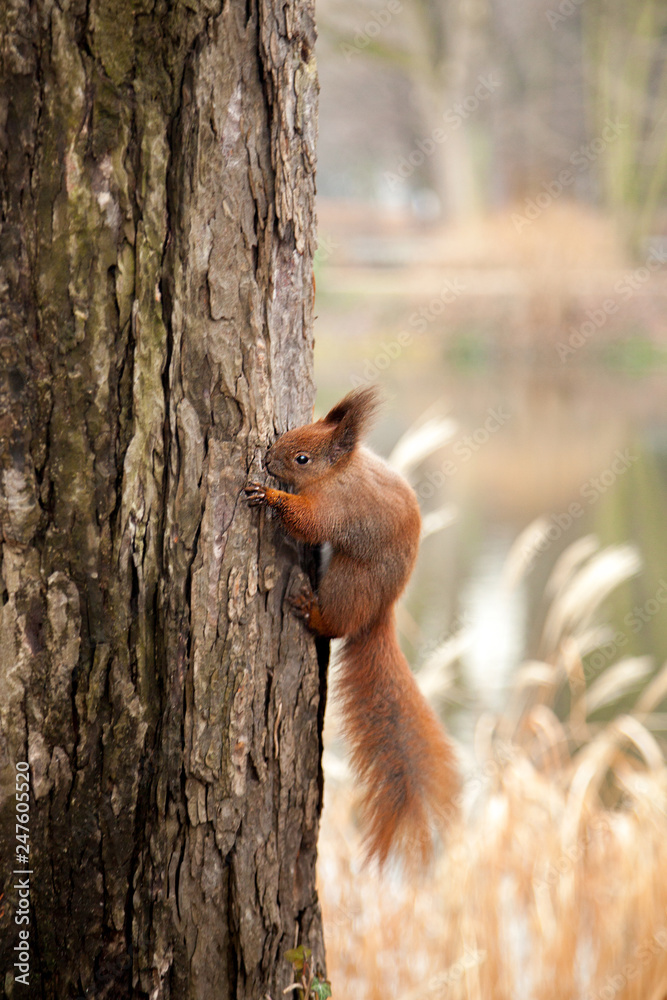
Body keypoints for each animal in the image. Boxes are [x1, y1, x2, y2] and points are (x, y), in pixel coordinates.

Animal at [243, 386, 460, 868]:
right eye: (295, 431)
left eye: (302, 458)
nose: (267, 457)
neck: (339, 471)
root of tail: (382, 611)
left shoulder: (336, 509)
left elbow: (308, 523)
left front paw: (269, 495)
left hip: (347, 580)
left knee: (336, 624)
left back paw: (311, 610)